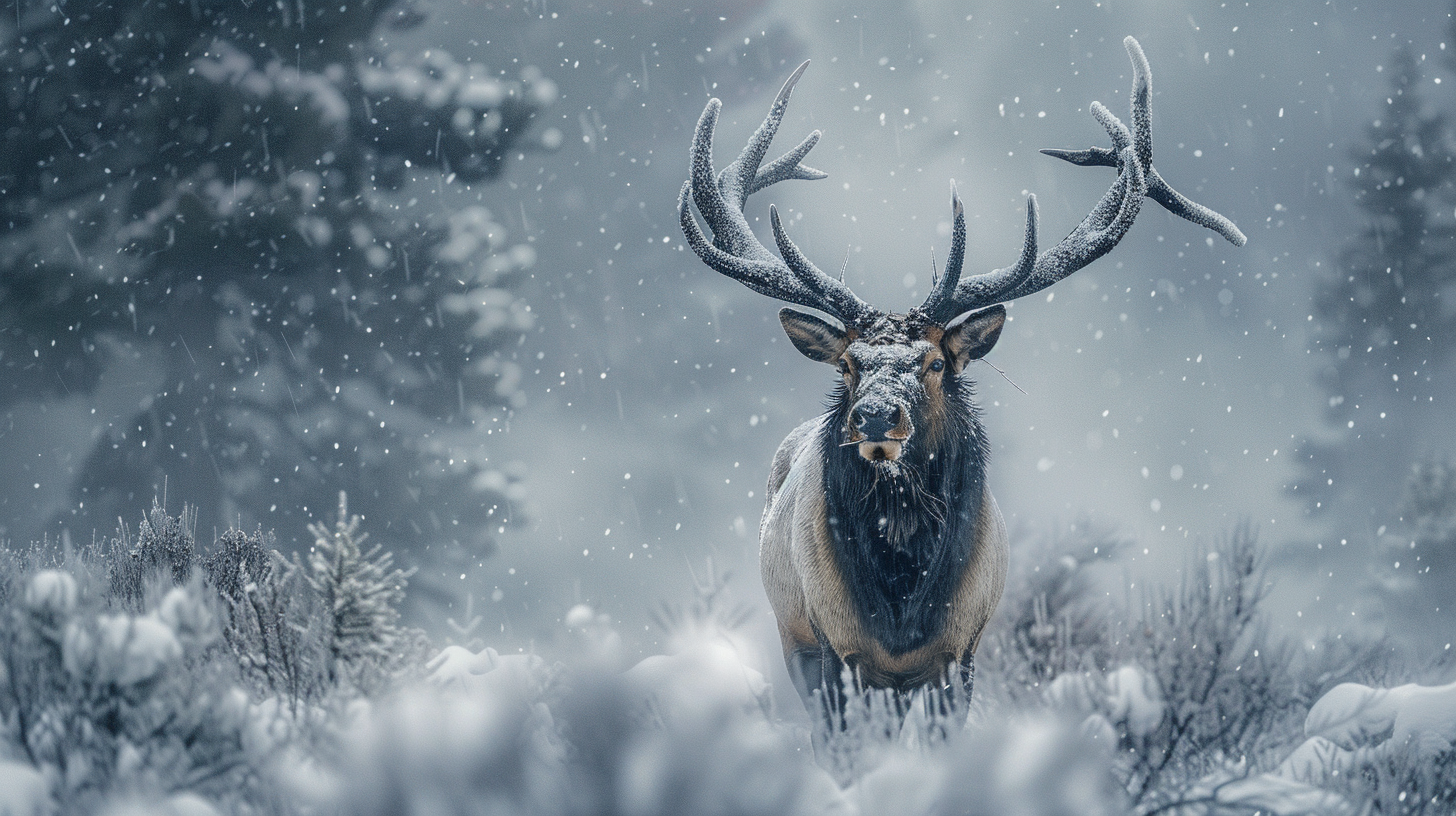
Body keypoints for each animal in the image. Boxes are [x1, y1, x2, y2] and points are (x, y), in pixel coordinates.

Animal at [678, 37, 1244, 738]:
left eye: (935, 363)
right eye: (849, 363)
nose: (874, 417)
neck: (902, 610)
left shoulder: (960, 650)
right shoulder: (835, 646)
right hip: (795, 639)